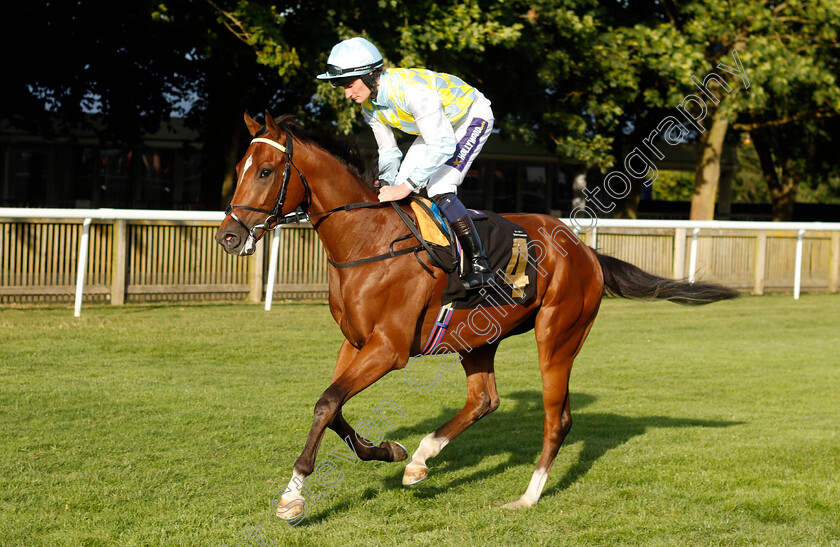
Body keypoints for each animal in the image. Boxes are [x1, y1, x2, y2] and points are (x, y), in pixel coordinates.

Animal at [215, 111, 736, 524]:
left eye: (266, 170)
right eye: (238, 168)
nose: (228, 236)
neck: (367, 241)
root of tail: (585, 250)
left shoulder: (389, 349)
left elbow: (326, 403)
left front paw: (293, 497)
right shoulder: (356, 342)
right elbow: (333, 406)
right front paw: (387, 451)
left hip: (558, 336)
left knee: (557, 419)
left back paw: (526, 497)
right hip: (477, 337)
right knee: (485, 399)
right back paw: (421, 458)